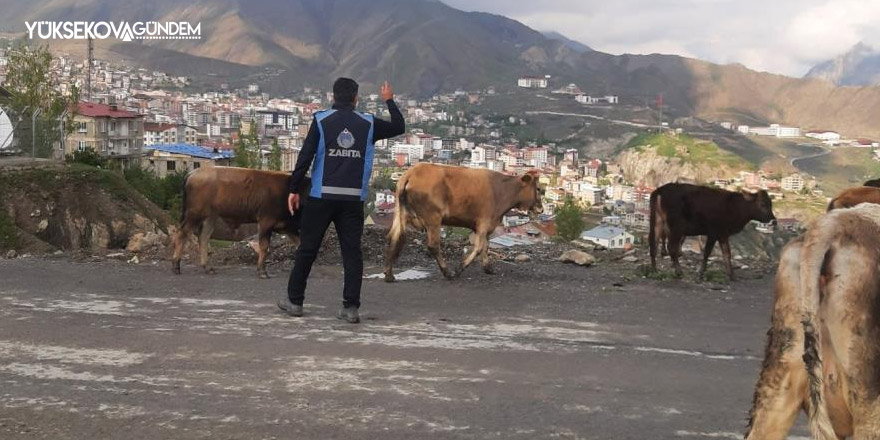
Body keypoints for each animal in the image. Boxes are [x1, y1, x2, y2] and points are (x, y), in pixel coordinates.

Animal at [171, 167, 310, 276]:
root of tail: (193, 173)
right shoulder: (266, 222)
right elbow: (264, 246)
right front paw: (262, 271)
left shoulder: (288, 227)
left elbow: (300, 244)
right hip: (194, 214)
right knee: (182, 234)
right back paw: (176, 266)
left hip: (211, 216)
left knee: (203, 237)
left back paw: (208, 267)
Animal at [384, 162, 544, 282]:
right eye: (538, 189)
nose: (541, 209)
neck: (502, 190)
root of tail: (412, 172)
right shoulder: (483, 223)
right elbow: (479, 247)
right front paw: (460, 268)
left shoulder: (484, 227)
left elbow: (486, 246)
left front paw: (488, 268)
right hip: (433, 219)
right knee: (433, 245)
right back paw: (447, 272)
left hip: (400, 214)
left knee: (394, 238)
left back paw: (389, 274)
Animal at [648, 184, 776, 280]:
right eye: (762, 204)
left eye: (770, 204)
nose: (773, 220)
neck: (736, 207)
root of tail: (661, 190)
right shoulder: (713, 233)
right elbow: (707, 253)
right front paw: (701, 273)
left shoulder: (723, 234)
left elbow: (727, 253)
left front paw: (731, 275)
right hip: (676, 227)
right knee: (671, 247)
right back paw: (678, 271)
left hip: (657, 222)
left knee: (654, 245)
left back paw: (654, 270)